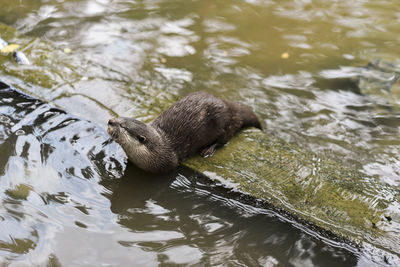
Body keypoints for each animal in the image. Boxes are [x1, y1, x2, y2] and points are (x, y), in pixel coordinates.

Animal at [108, 91, 260, 173]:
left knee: (224, 139)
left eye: (122, 125)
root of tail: (229, 106)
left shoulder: (169, 164)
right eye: (119, 117)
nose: (110, 121)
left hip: (223, 124)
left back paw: (208, 150)